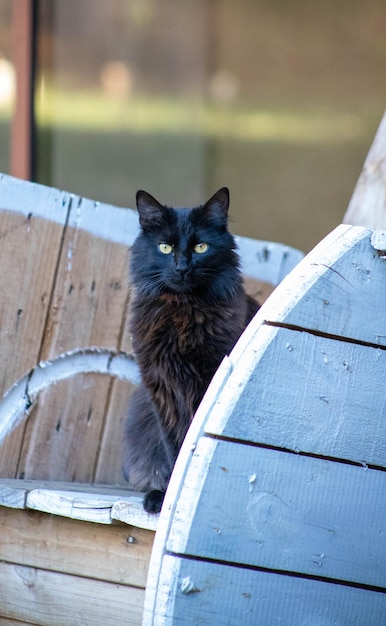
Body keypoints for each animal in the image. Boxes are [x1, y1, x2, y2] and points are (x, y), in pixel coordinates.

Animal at [122, 188, 258, 510]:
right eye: (165, 248)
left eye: (200, 247)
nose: (182, 268)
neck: (181, 312)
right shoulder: (162, 391)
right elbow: (175, 449)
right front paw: (165, 497)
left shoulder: (205, 383)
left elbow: (192, 446)